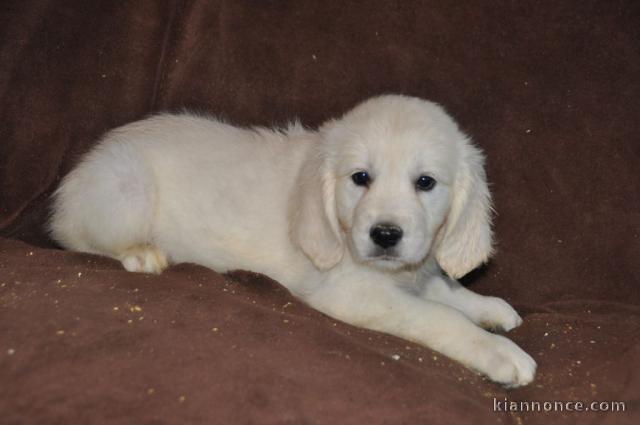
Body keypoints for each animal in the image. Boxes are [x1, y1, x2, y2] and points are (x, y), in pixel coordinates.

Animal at [51, 94, 536, 386]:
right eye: (360, 178)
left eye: (426, 182)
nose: (384, 235)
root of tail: (87, 165)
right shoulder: (352, 295)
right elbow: (439, 317)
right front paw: (498, 351)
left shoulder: (413, 270)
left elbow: (445, 289)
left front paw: (490, 308)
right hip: (125, 186)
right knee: (75, 235)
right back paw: (141, 254)